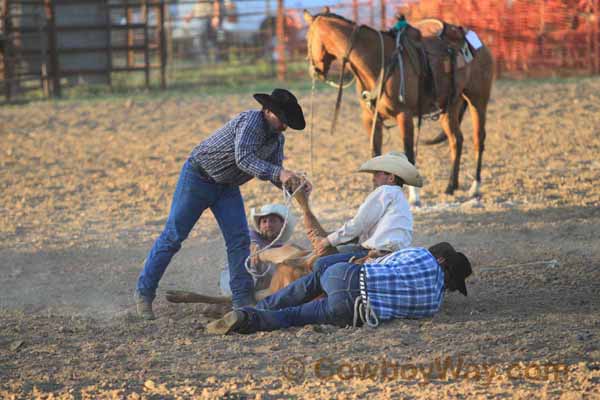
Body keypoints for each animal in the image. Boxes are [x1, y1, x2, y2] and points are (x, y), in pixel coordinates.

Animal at [304, 8, 492, 203]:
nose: (314, 70)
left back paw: (475, 187)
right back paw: (451, 186)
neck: (378, 62)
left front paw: (414, 198)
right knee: (456, 140)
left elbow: (408, 154)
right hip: (450, 107)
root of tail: (477, 43)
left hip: (478, 101)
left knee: (478, 139)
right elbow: (375, 154)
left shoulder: (405, 116)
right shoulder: (370, 119)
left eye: (307, 38)